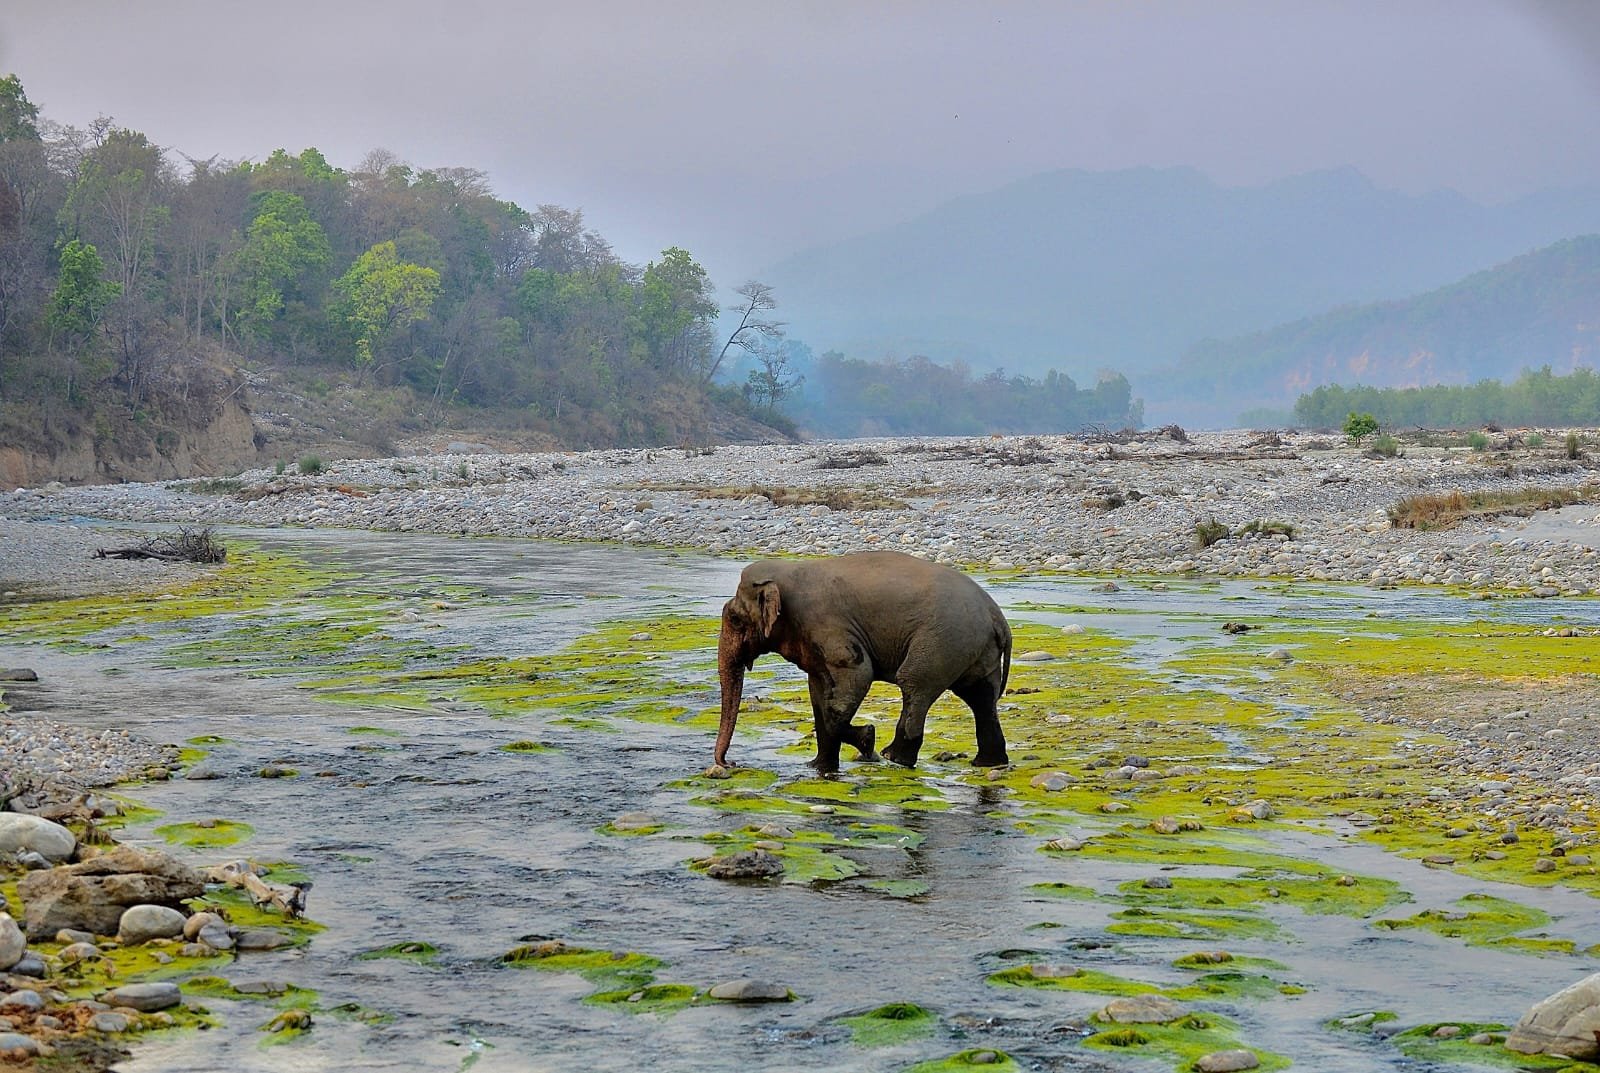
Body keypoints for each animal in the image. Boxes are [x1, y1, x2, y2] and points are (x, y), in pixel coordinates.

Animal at [714, 550, 1011, 774]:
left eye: (735, 620)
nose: (730, 763)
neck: (788, 571)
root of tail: (997, 616)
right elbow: (818, 693)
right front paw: (818, 767)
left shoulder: (829, 626)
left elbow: (859, 676)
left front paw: (868, 740)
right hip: (975, 647)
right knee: (981, 697)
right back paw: (988, 764)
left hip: (943, 641)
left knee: (915, 683)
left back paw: (894, 757)